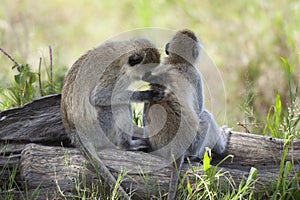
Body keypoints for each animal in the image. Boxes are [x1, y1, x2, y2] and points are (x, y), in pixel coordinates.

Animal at [60, 38, 162, 200]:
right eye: (147, 71)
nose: (149, 77)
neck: (123, 58)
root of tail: (73, 131)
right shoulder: (113, 73)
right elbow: (97, 97)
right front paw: (146, 94)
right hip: (100, 129)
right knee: (118, 106)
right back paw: (126, 145)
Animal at [143, 30, 230, 200]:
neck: (177, 61)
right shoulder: (196, 76)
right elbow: (200, 110)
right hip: (194, 144)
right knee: (205, 117)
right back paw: (220, 145)